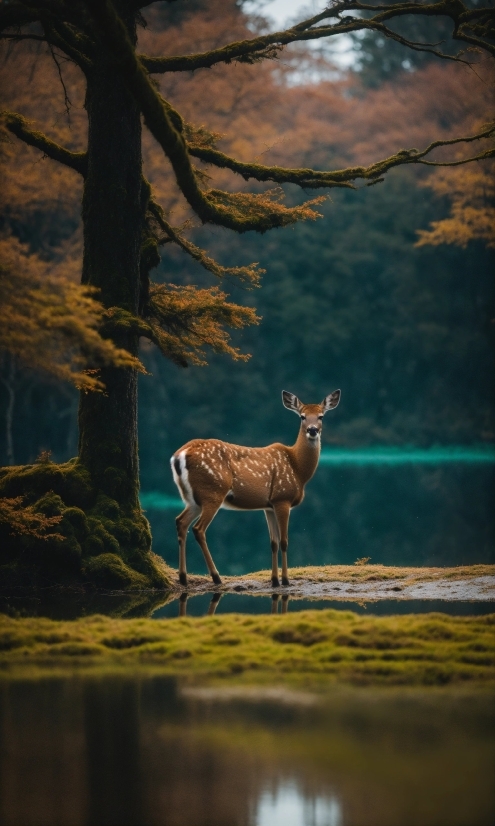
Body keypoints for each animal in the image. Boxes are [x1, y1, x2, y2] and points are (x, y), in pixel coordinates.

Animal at [170, 390, 340, 588]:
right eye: (302, 416)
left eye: (321, 416)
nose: (312, 430)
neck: (298, 469)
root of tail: (178, 456)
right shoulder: (283, 498)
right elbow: (284, 541)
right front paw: (285, 580)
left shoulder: (269, 505)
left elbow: (273, 542)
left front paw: (274, 580)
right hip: (212, 492)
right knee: (198, 529)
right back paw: (216, 577)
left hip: (193, 499)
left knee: (181, 522)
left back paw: (183, 577)